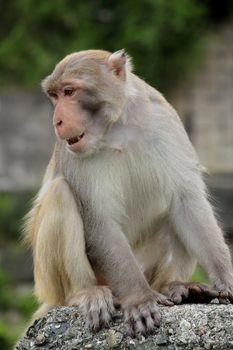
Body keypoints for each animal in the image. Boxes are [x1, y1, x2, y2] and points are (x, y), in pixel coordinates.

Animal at [24, 49, 233, 336]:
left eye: (69, 92)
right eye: (55, 96)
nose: (58, 120)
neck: (117, 127)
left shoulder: (166, 122)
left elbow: (185, 201)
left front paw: (225, 279)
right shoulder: (72, 154)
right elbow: (99, 221)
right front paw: (139, 299)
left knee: (173, 213)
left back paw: (175, 287)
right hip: (53, 283)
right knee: (61, 193)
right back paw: (86, 293)